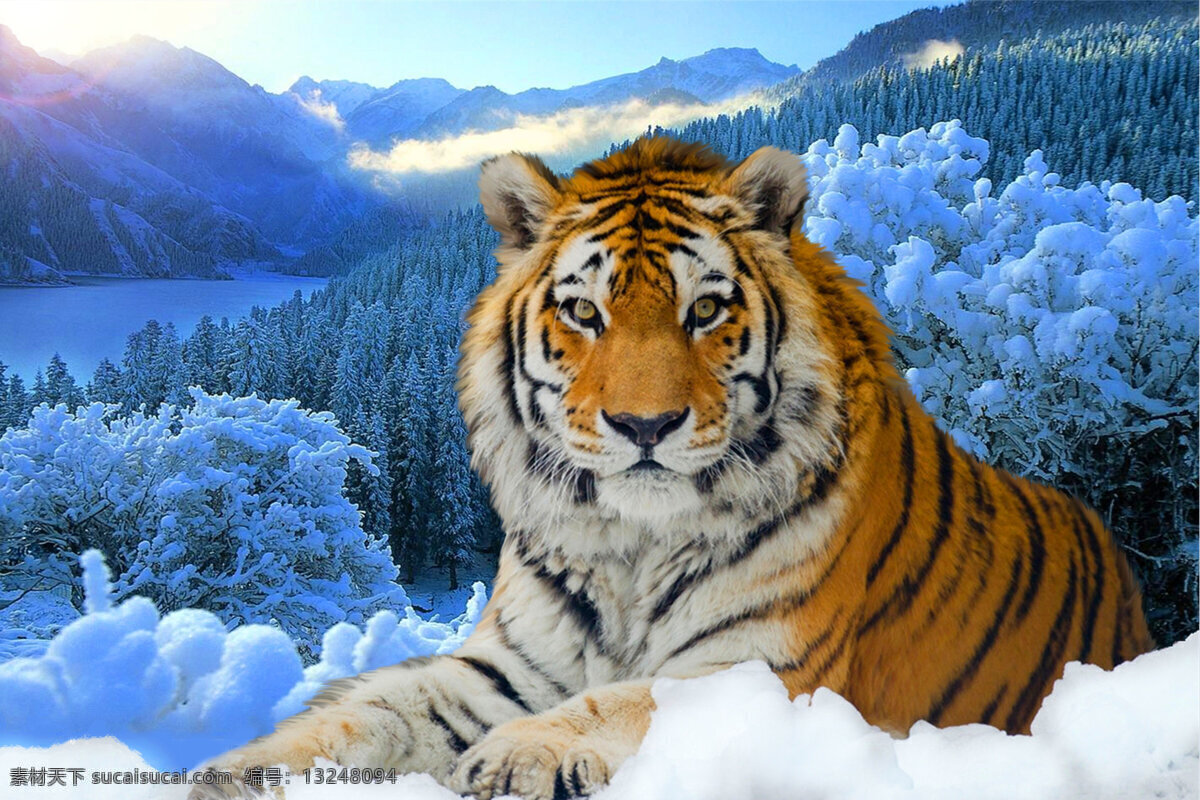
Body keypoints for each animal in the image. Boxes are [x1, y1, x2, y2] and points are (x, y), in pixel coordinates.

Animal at [195, 137, 1154, 800]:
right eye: (584, 311)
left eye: (706, 311)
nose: (645, 425)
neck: (632, 543)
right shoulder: (510, 666)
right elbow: (375, 708)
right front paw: (232, 769)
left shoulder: (765, 667)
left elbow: (629, 698)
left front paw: (518, 755)